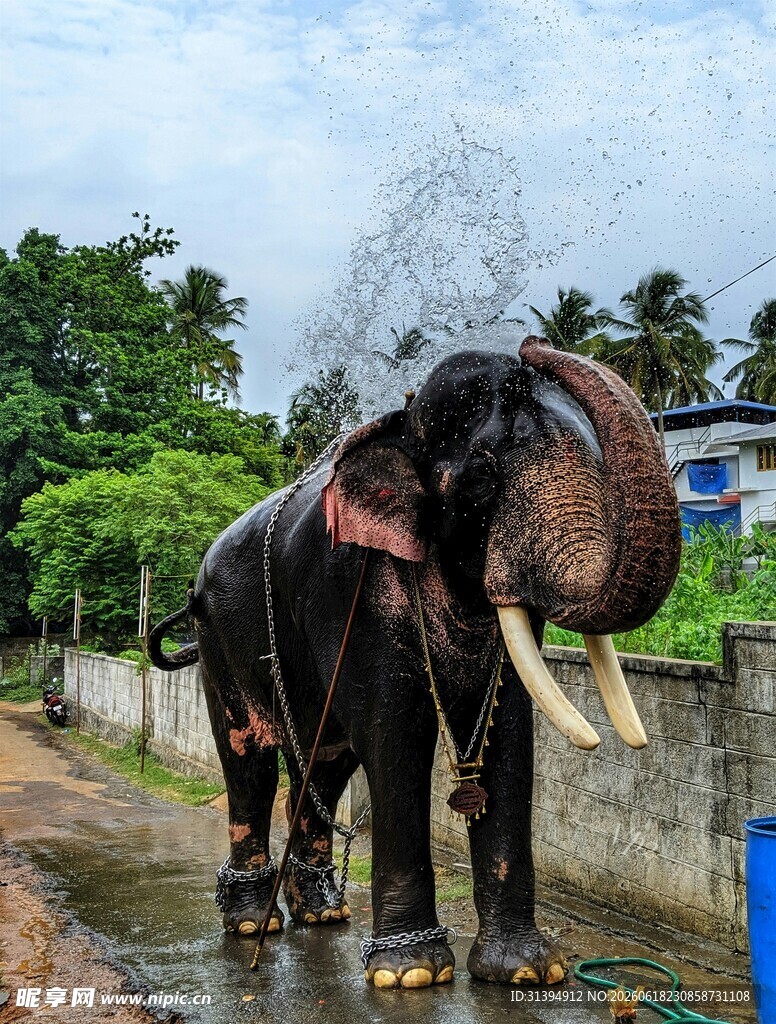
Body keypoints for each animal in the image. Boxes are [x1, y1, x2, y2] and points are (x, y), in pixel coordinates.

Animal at [149, 335, 681, 990]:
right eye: (483, 477)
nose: (531, 345)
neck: (399, 428)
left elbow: (510, 737)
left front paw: (529, 971)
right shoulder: (355, 591)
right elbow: (395, 735)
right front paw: (411, 975)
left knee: (322, 763)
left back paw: (321, 912)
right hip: (221, 640)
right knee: (248, 758)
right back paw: (253, 924)